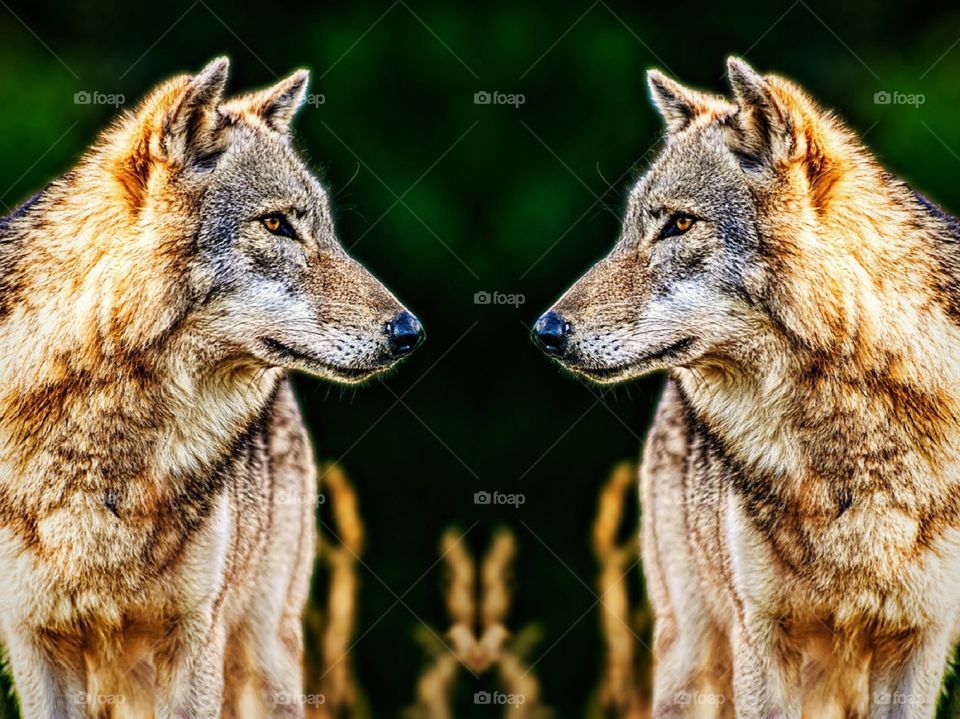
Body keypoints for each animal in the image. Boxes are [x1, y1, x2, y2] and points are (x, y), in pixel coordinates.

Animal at [0, 58, 422, 718]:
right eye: (276, 223)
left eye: (326, 230)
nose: (410, 331)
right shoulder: (32, 640)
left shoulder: (195, 636)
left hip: (265, 660)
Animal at [534, 57, 960, 718]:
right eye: (630, 230)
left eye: (680, 224)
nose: (546, 330)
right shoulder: (761, 633)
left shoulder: (922, 638)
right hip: (692, 660)